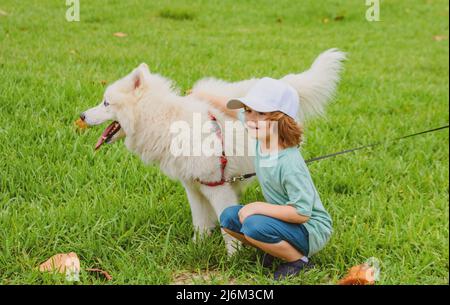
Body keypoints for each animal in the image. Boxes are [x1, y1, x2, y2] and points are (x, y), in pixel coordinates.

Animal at [81, 48, 346, 253]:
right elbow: (200, 222)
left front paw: (232, 257)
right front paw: (197, 247)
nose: (81, 116)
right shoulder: (194, 186)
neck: (166, 119)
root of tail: (283, 85)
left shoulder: (216, 187)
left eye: (105, 103)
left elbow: (226, 226)